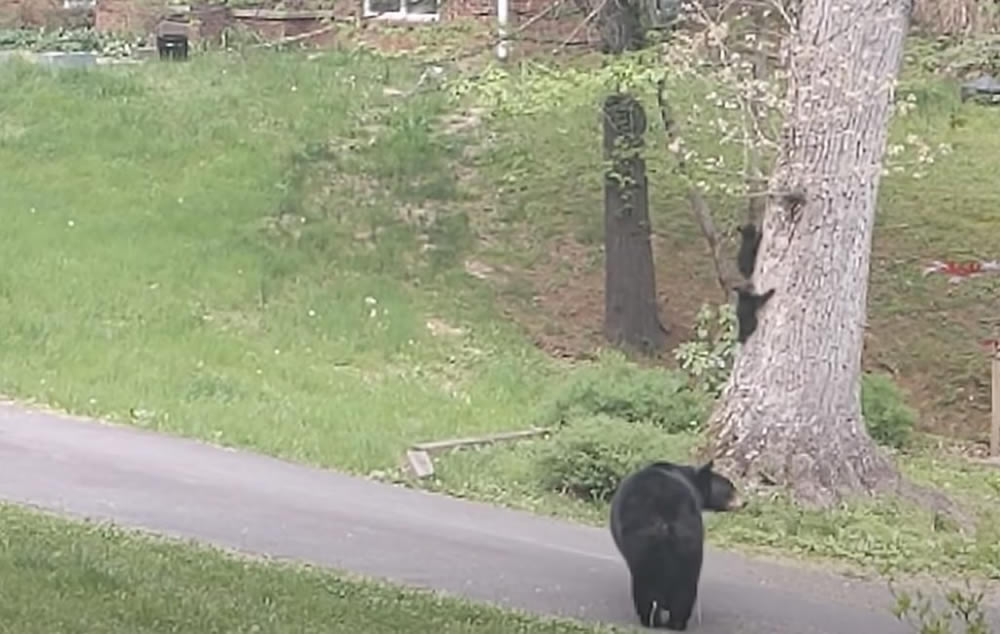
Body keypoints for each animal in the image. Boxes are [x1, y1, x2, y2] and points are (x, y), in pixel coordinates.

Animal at [608, 460, 744, 628]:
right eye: (731, 488)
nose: (744, 502)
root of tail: (666, 514)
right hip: (690, 538)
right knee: (686, 584)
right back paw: (676, 621)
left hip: (643, 541)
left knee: (646, 581)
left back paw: (652, 619)